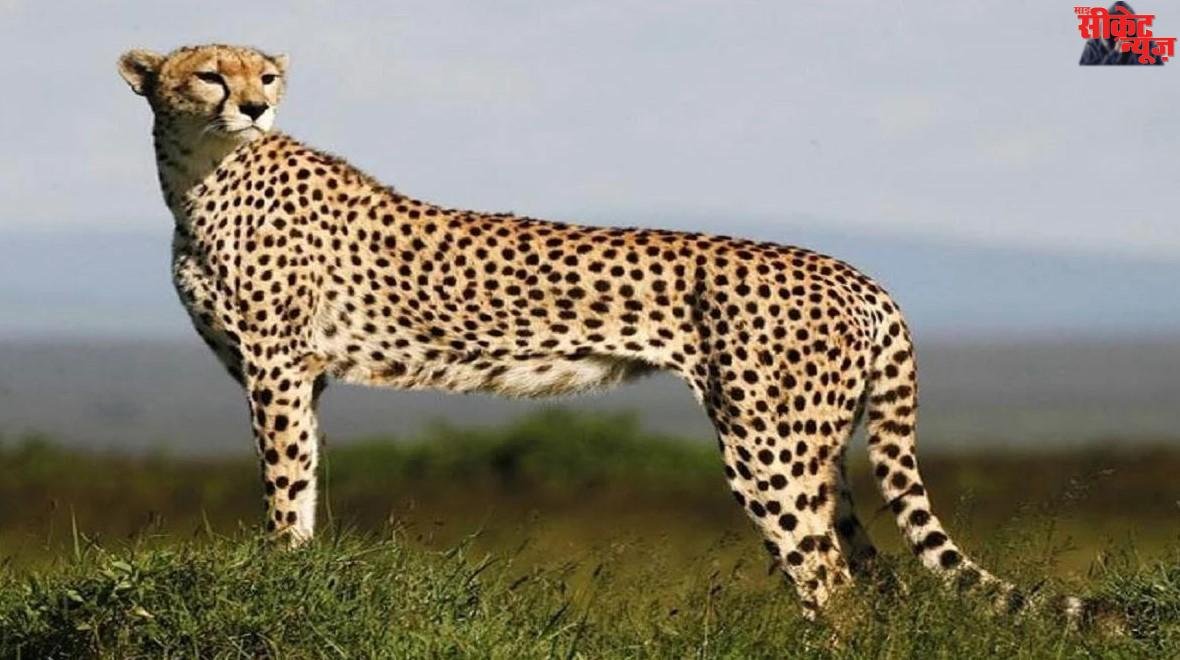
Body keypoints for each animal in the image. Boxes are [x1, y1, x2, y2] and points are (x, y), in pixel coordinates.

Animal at [117, 43, 1084, 621]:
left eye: (265, 75)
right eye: (210, 75)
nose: (253, 106)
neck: (200, 173)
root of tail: (857, 275)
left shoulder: (276, 368)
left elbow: (284, 485)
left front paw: (280, 574)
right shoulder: (301, 374)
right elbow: (307, 479)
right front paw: (298, 568)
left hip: (767, 447)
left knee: (833, 588)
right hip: (818, 450)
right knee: (867, 580)